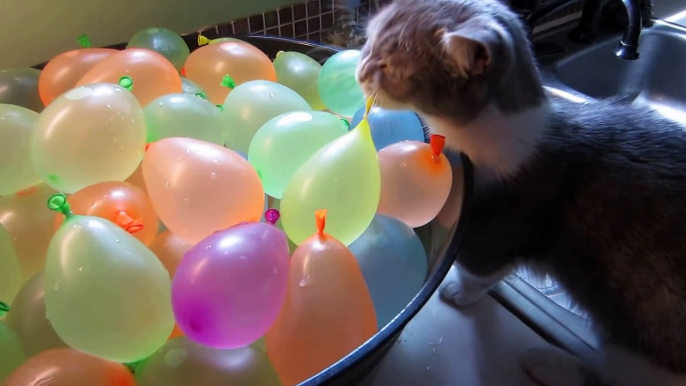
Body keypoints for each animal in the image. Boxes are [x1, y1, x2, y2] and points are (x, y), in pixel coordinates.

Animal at [358, 0, 686, 386]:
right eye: (368, 41)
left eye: (387, 66)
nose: (359, 70)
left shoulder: (496, 226)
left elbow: (480, 271)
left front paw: (460, 292)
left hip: (642, 337)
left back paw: (548, 364)